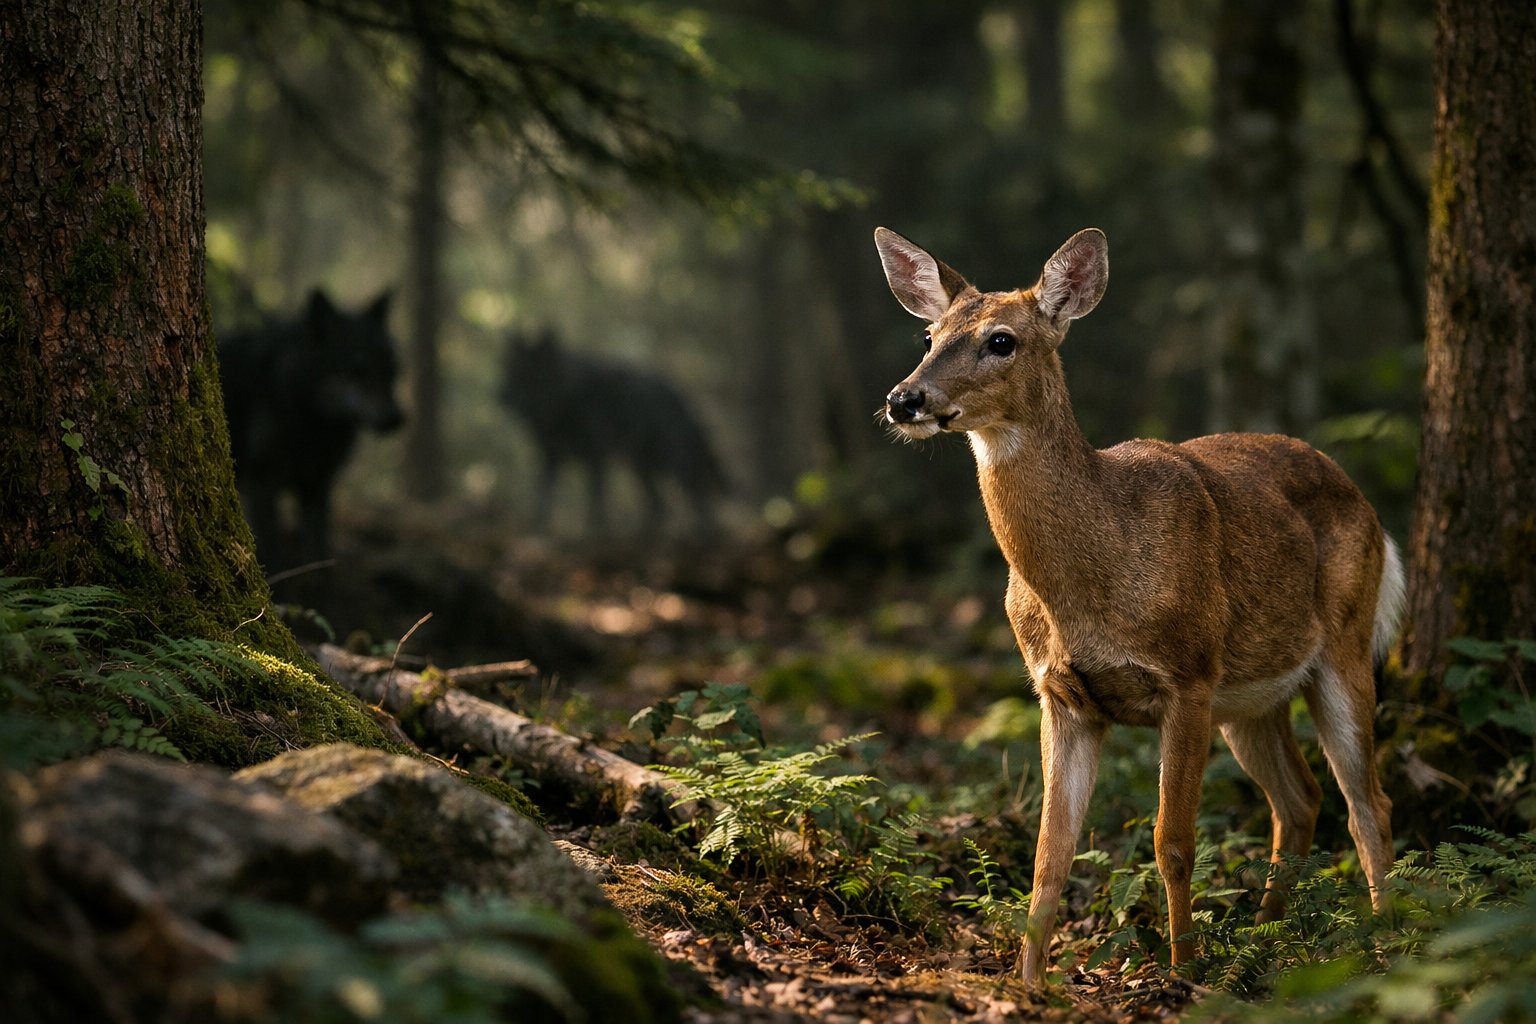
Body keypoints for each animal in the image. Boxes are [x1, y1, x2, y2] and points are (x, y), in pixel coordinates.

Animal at [219, 288, 404, 571]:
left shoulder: (317, 489)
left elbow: (319, 557)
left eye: (392, 368)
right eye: (358, 368)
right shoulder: (263, 485)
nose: (395, 418)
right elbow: (274, 554)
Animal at [499, 328, 728, 535]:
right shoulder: (551, 457)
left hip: (676, 465)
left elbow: (596, 501)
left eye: (527, 376)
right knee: (660, 506)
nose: (498, 395)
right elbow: (544, 498)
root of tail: (685, 400)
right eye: (510, 372)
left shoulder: (596, 456)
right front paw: (540, 531)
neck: (566, 401)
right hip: (642, 467)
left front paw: (593, 533)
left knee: (700, 502)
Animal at [873, 225, 1403, 987]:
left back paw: (1387, 941)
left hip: (1343, 643)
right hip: (1250, 696)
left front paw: (1184, 974)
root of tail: (1368, 504)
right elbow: (1050, 853)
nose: (904, 399)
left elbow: (1171, 840)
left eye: (1002, 340)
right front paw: (1028, 984)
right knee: (1300, 799)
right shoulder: (1061, 695)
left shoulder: (1186, 676)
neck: (1088, 586)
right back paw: (1265, 939)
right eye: (928, 334)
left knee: (1367, 803)